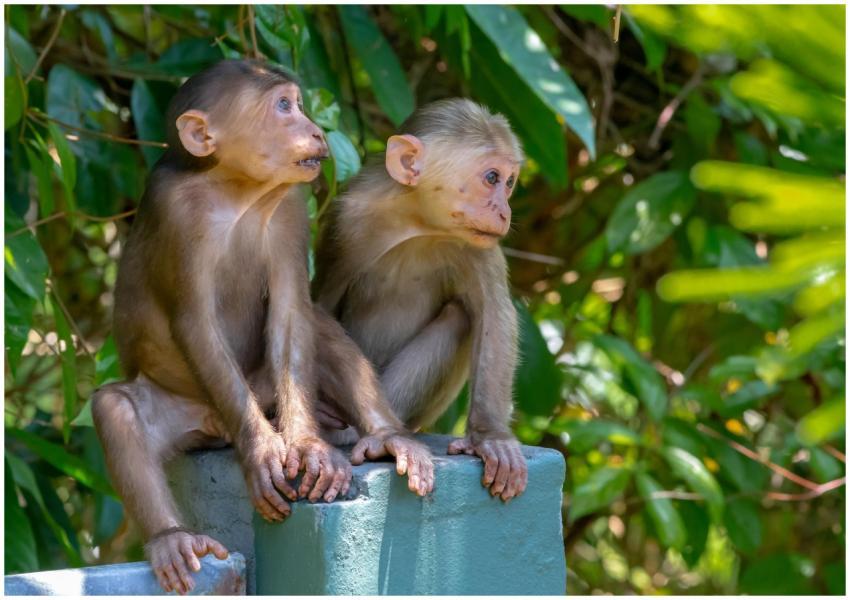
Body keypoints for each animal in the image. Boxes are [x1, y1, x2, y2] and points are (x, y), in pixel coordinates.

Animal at [91, 60, 433, 595]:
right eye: (284, 106)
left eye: (299, 104)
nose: (315, 130)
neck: (237, 191)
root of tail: (211, 428)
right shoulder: (175, 210)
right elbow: (195, 323)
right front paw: (261, 453)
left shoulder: (290, 206)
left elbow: (293, 308)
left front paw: (309, 449)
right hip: (186, 410)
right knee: (116, 409)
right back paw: (171, 536)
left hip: (265, 390)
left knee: (319, 330)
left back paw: (386, 436)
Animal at [313, 98, 528, 504]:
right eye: (492, 178)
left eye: (509, 183)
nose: (505, 211)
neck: (417, 224)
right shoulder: (345, 220)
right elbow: (317, 305)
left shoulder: (478, 245)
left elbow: (494, 314)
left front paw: (490, 436)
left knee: (460, 317)